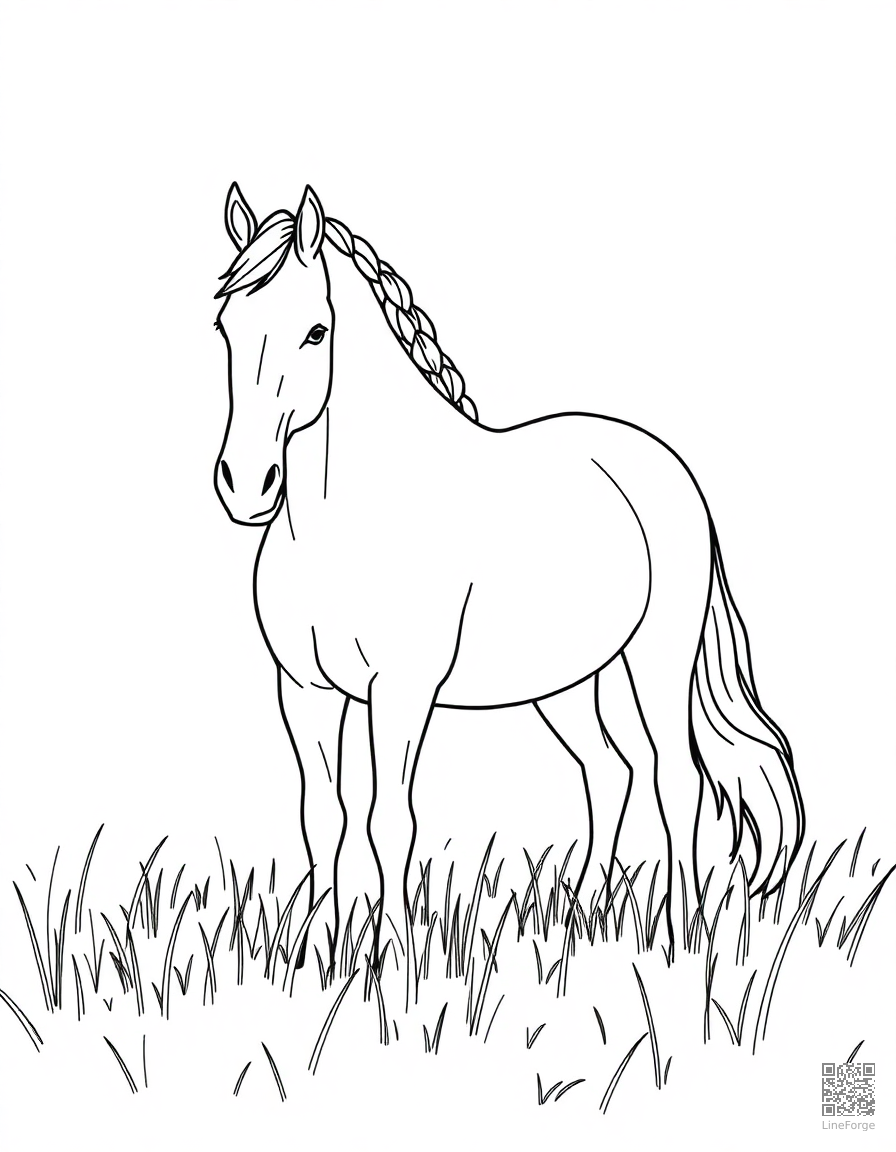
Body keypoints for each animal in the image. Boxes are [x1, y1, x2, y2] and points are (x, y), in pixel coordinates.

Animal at [211, 182, 805, 996]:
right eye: (226, 329)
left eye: (315, 331)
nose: (246, 485)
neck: (345, 518)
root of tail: (666, 469)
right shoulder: (303, 691)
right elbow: (323, 818)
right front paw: (312, 959)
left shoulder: (401, 694)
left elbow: (392, 821)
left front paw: (393, 968)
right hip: (564, 683)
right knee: (609, 774)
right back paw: (579, 922)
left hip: (656, 659)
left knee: (676, 781)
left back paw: (683, 938)